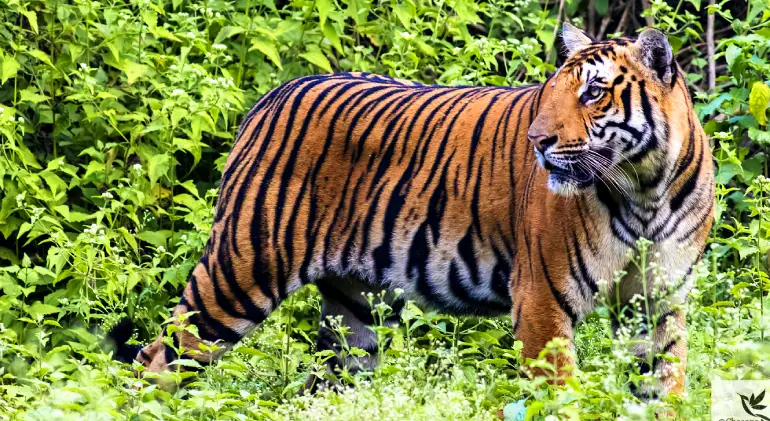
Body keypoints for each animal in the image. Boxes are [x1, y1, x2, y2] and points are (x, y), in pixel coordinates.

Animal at [109, 24, 712, 398]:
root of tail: (274, 93)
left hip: (353, 312)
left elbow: (665, 385)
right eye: (551, 95)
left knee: (324, 386)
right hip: (242, 270)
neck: (644, 188)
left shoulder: (658, 300)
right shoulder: (543, 297)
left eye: (593, 94)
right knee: (157, 358)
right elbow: (558, 397)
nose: (538, 142)